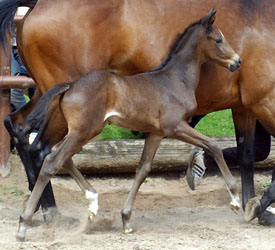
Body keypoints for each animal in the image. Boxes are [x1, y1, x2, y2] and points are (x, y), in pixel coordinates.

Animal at [0, 0, 274, 223]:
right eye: (218, 39)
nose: (237, 62)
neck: (174, 77)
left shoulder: (239, 107)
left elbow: (247, 154)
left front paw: (251, 205)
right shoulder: (260, 101)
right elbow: (220, 147)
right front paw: (251, 204)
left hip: (49, 100)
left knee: (21, 129)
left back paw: (48, 209)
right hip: (75, 119)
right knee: (46, 151)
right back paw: (50, 213)